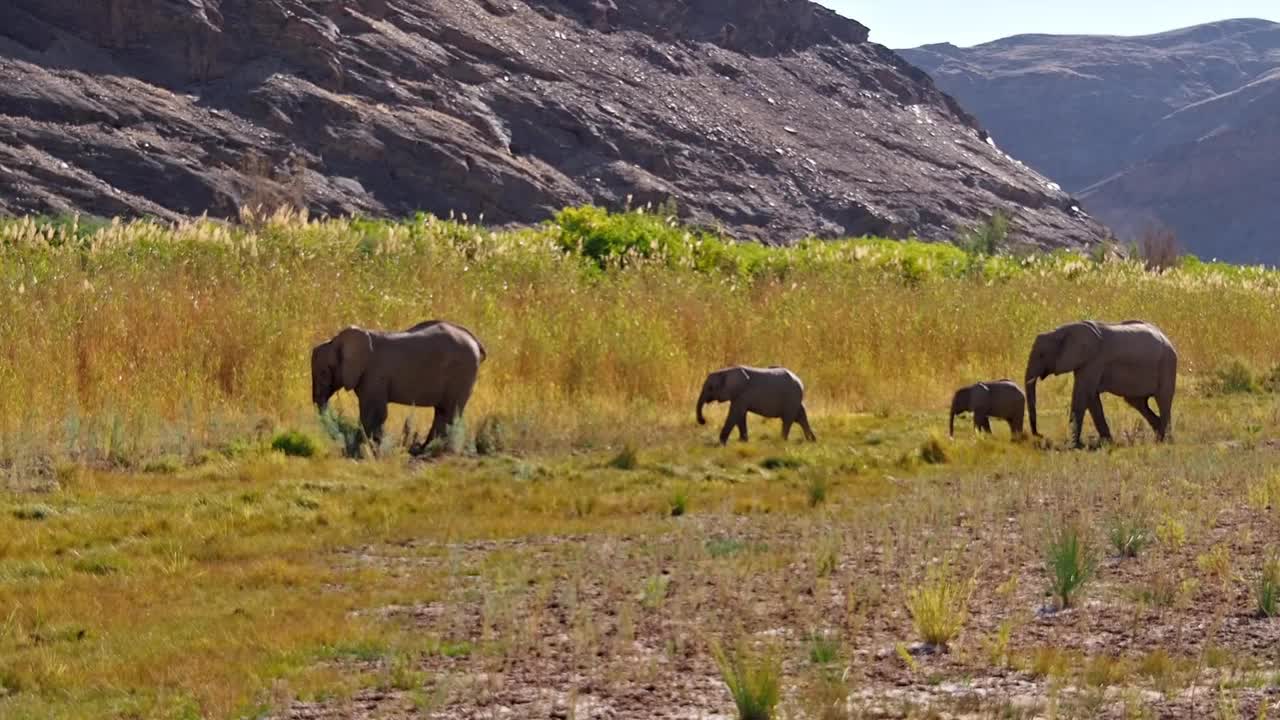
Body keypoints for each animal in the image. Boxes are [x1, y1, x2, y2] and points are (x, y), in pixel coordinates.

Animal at [312, 319, 486, 448]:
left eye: (324, 372)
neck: (335, 340)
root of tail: (476, 341)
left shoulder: (375, 374)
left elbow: (373, 413)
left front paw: (365, 446)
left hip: (462, 371)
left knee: (450, 411)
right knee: (442, 412)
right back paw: (422, 449)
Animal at [1018, 317, 1177, 445]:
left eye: (1041, 355)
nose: (1039, 435)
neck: (1062, 330)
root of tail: (1167, 338)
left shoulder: (1094, 360)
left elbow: (1083, 394)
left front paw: (1072, 445)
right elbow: (1091, 397)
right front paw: (1107, 442)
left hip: (1167, 364)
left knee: (1163, 400)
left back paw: (1165, 441)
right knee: (1138, 403)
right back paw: (1159, 436)